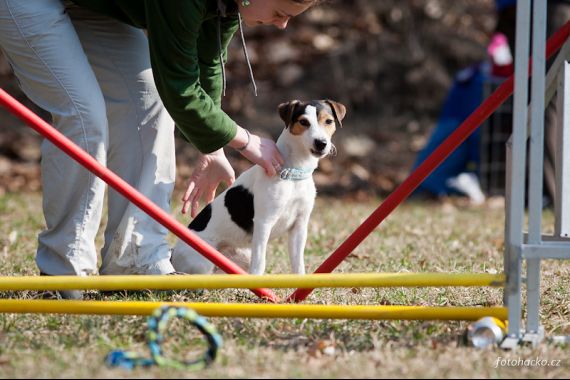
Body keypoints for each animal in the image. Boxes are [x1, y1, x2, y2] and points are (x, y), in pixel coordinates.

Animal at [171, 99, 344, 274]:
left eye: (328, 121)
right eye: (304, 122)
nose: (321, 143)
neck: (293, 174)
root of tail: (172, 254)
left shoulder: (299, 226)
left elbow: (298, 265)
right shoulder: (264, 223)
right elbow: (260, 264)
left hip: (243, 255)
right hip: (203, 262)